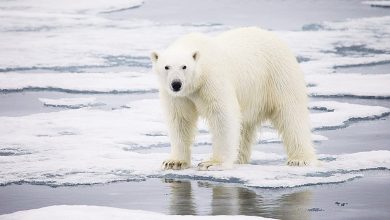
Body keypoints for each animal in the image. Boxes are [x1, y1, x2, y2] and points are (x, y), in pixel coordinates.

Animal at [151, 27, 318, 171]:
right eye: (166, 67)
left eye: (184, 66)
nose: (176, 84)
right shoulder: (177, 96)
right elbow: (180, 120)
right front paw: (174, 162)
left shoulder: (212, 80)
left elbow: (222, 116)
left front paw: (212, 163)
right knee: (244, 126)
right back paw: (238, 158)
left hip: (277, 75)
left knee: (291, 114)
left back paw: (299, 159)